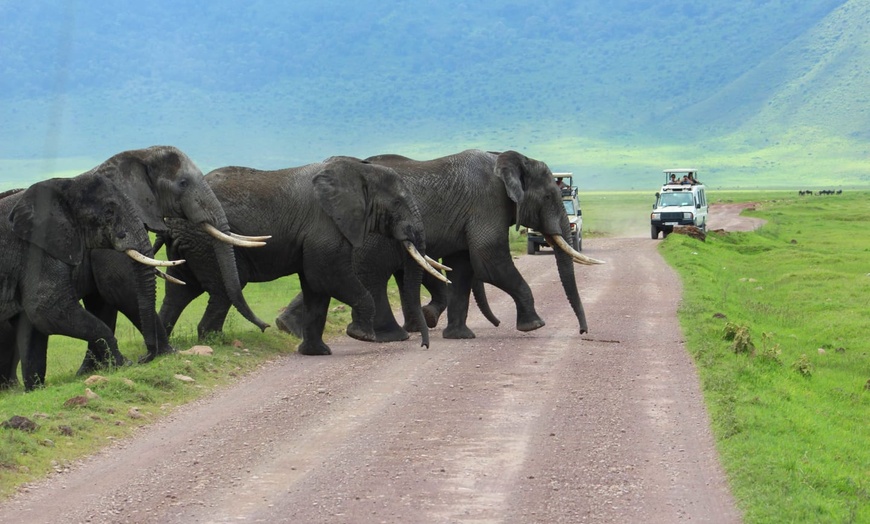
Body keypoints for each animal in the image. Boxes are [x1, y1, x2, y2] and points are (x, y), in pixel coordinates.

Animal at [0, 175, 181, 388]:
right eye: (109, 212)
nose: (144, 358)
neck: (66, 185)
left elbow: (32, 326)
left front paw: (36, 389)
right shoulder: (36, 249)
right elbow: (47, 309)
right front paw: (123, 364)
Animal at [157, 156, 446, 356]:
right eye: (397, 203)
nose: (424, 346)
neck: (358, 169)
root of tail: (171, 223)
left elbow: (315, 287)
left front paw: (316, 353)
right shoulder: (324, 225)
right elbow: (326, 277)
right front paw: (361, 336)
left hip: (191, 245)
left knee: (180, 290)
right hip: (205, 241)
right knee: (222, 290)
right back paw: (214, 342)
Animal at [282, 149, 608, 342]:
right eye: (550, 197)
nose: (583, 331)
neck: (503, 158)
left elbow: (463, 268)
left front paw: (459, 336)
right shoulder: (486, 203)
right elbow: (488, 260)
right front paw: (534, 326)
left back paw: (289, 328)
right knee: (372, 275)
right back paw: (390, 337)